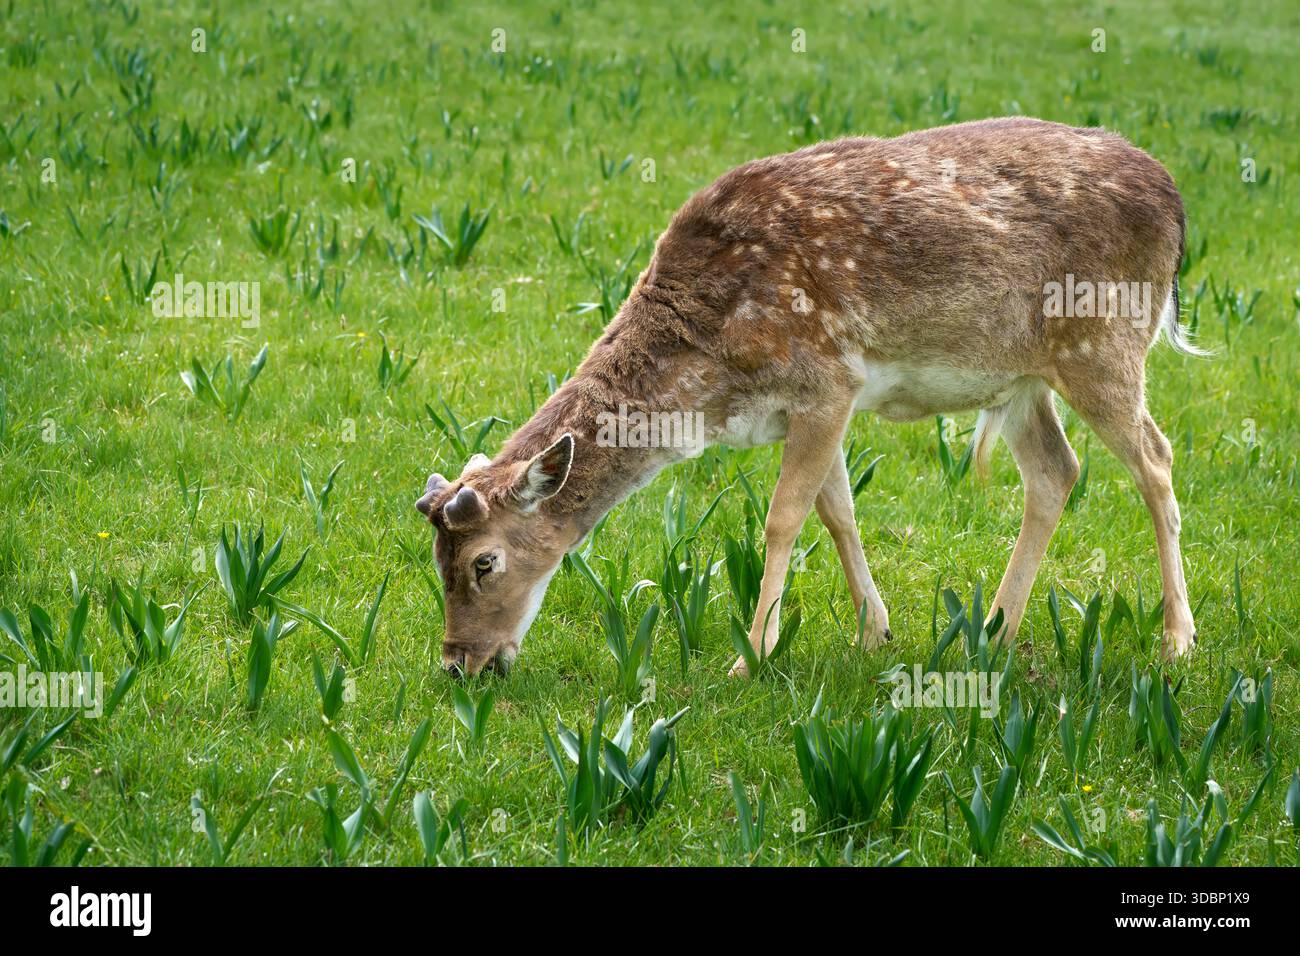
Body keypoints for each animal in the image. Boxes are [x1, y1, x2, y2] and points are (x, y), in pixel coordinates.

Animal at [415, 116, 1201, 679]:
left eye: (484, 562)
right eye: (436, 563)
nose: (459, 664)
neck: (708, 390)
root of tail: (1177, 200)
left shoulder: (828, 381)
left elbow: (783, 518)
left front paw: (752, 655)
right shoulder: (809, 408)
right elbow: (838, 512)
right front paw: (874, 632)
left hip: (1105, 344)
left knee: (1157, 460)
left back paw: (1176, 640)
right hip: (1023, 378)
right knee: (1055, 470)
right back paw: (993, 631)